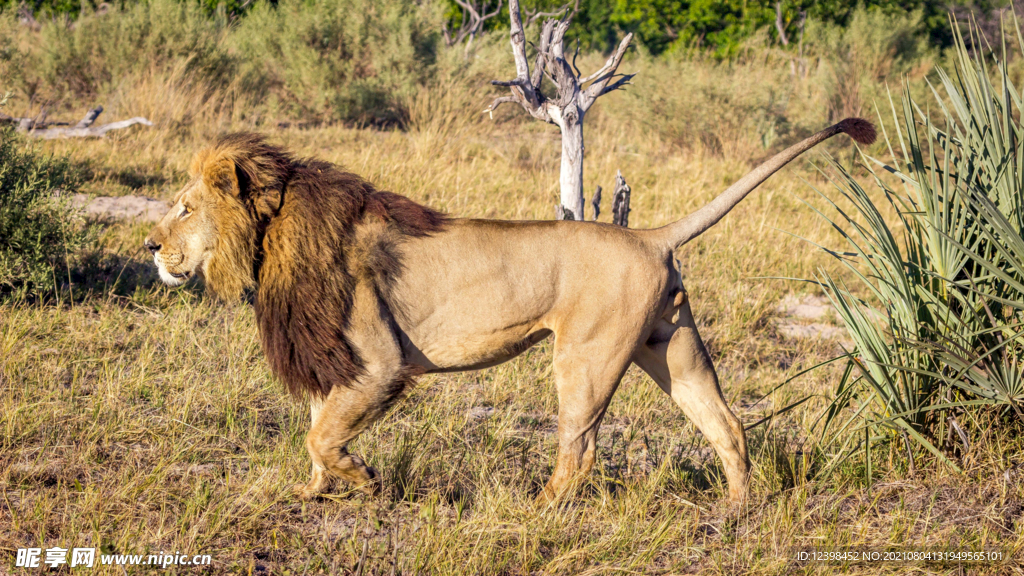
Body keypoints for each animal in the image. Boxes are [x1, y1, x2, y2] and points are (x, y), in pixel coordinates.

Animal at [144, 118, 876, 500]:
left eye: (183, 207)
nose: (148, 246)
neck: (272, 234)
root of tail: (649, 235)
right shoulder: (339, 357)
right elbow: (322, 424)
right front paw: (317, 491)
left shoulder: (378, 361)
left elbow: (321, 432)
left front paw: (364, 481)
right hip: (672, 346)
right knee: (726, 425)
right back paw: (737, 513)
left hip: (586, 356)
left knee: (581, 446)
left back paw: (543, 507)